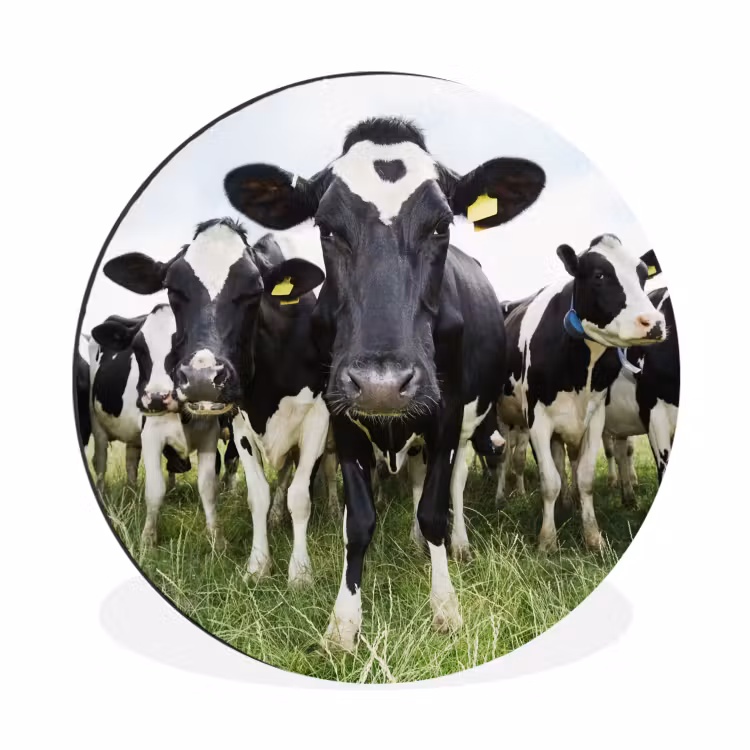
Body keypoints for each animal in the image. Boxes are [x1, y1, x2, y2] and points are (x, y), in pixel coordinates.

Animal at [103, 220, 327, 585]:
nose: (202, 378)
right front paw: (258, 565)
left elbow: (300, 495)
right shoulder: (240, 424)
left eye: (255, 290)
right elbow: (257, 495)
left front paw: (300, 572)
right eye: (172, 288)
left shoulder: (318, 420)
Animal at [223, 116, 545, 650]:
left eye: (441, 225)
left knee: (453, 485)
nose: (382, 384)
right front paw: (343, 623)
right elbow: (358, 521)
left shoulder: (446, 414)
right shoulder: (340, 415)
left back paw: (455, 545)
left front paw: (445, 607)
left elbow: (434, 510)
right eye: (327, 227)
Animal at [499, 233, 665, 552]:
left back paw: (569, 502)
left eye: (642, 275)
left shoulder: (595, 417)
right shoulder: (537, 419)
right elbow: (549, 480)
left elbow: (584, 477)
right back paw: (503, 495)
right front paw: (547, 541)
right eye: (599, 275)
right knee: (508, 458)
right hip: (505, 419)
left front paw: (593, 536)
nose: (655, 323)